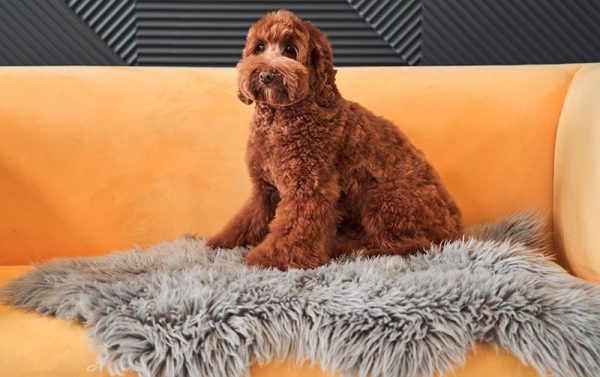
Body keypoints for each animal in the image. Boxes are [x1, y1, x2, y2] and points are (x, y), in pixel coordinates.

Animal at [206, 10, 464, 268]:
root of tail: (456, 228)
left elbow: (295, 226)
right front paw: (222, 241)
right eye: (259, 47)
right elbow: (248, 218)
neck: (279, 120)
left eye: (290, 49)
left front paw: (272, 258)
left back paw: (368, 251)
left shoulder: (307, 186)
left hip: (383, 199)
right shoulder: (265, 188)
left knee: (418, 244)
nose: (266, 75)